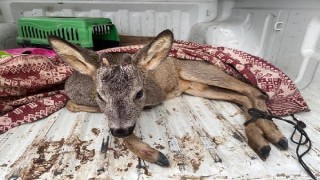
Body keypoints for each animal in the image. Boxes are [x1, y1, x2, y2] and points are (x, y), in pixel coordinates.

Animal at [48, 29, 288, 166]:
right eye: (100, 95)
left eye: (140, 93)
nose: (120, 130)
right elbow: (71, 105)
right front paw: (150, 152)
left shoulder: (155, 96)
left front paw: (153, 154)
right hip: (197, 87)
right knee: (243, 97)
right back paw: (264, 140)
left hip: (199, 72)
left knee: (253, 90)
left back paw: (274, 137)